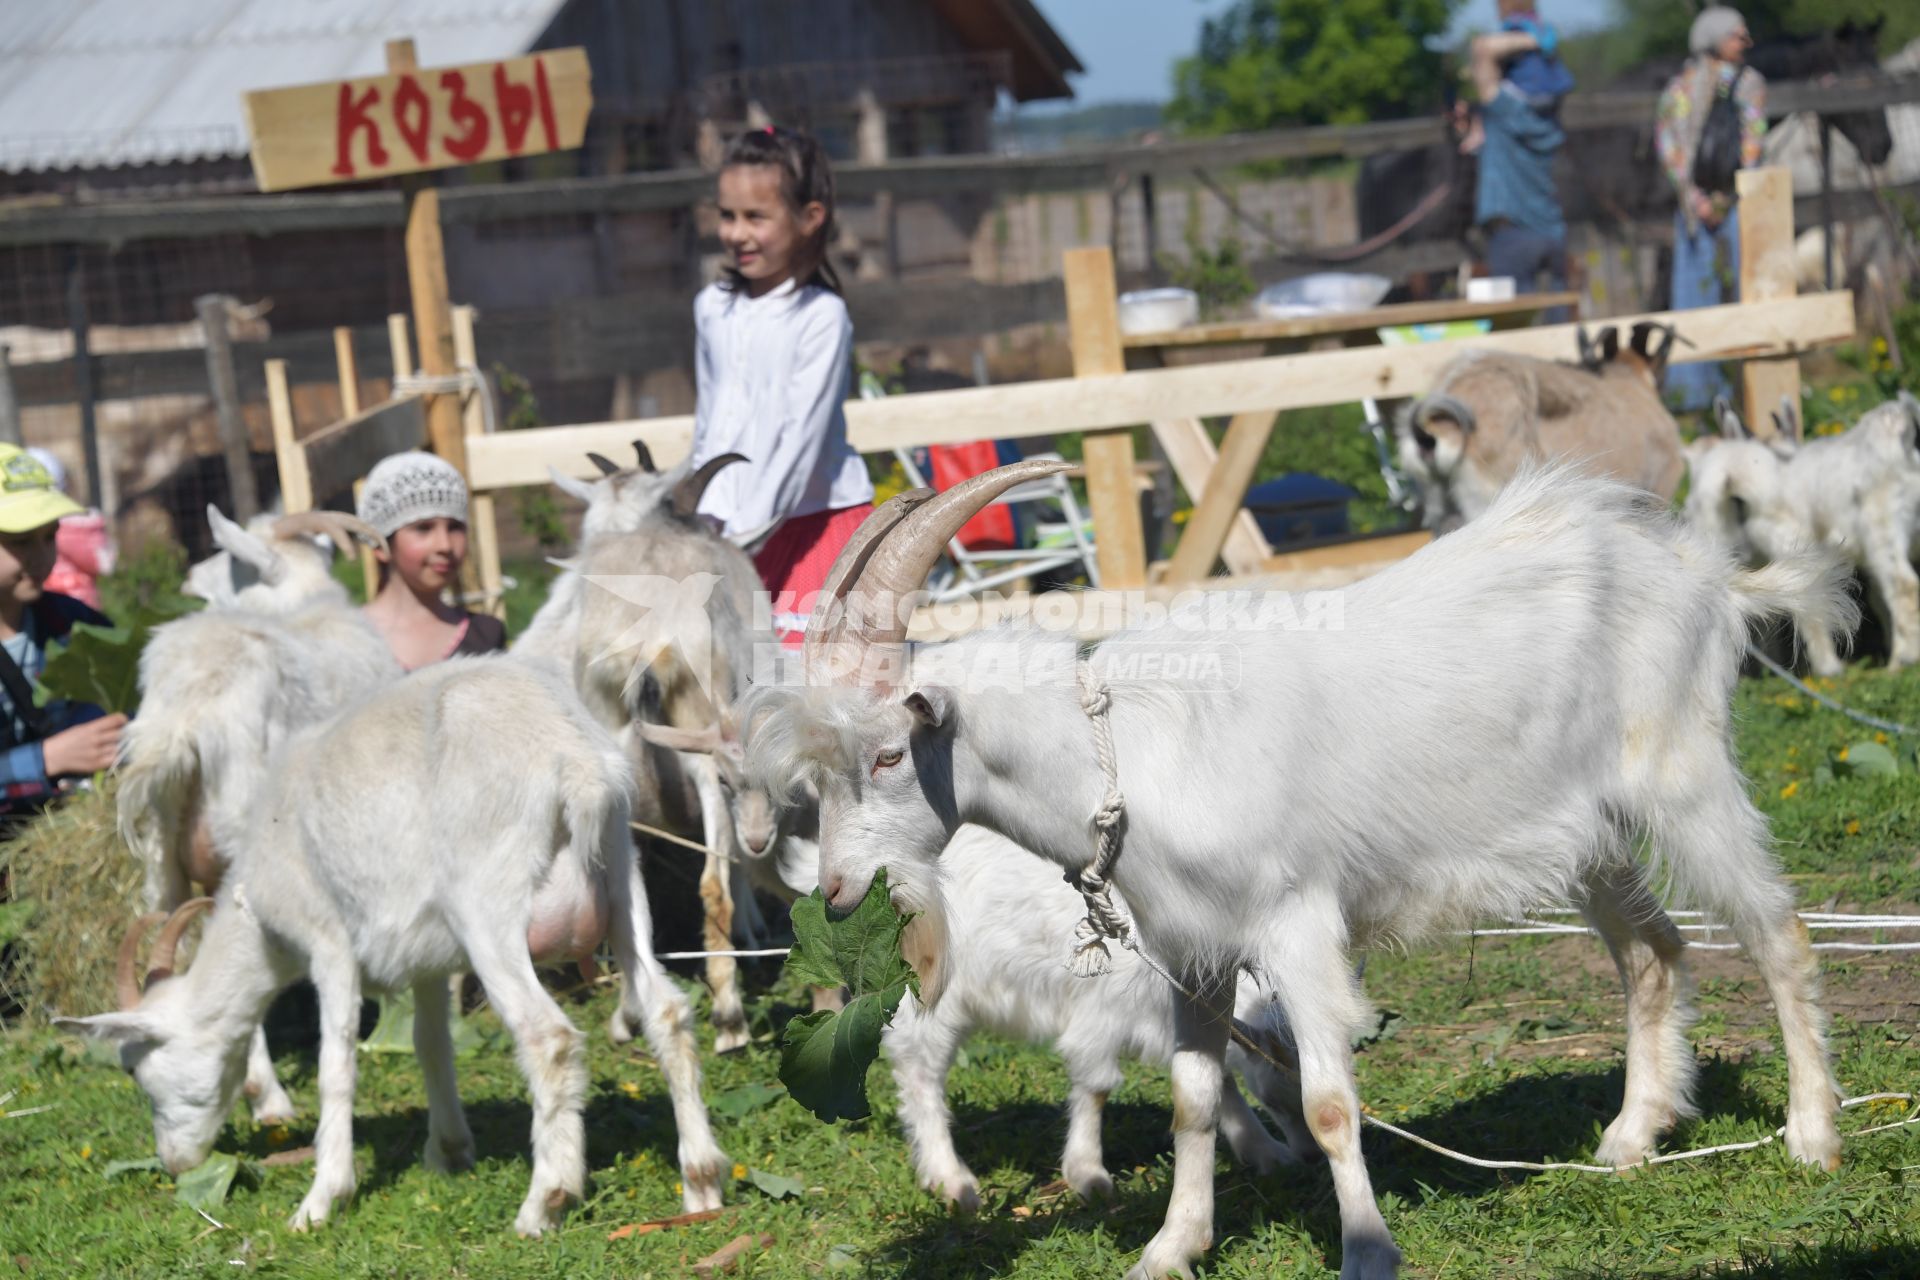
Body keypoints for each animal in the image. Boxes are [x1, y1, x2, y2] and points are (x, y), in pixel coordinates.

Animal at [67, 656, 721, 1235]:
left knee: (549, 1039)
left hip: (489, 902)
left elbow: (336, 1064)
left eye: (136, 1070)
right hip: (622, 877)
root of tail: (577, 765)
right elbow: (432, 1044)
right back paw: (701, 1183)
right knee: (665, 1011)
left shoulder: (328, 942)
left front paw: (322, 1200)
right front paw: (449, 1150)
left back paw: (545, 1204)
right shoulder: (429, 959)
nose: (176, 1163)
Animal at [119, 506, 401, 1120]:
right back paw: (266, 1094)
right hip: (238, 828)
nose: (189, 576)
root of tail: (187, 710)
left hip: (162, 855)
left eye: (229, 560)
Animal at [748, 460, 1858, 1280]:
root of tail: (1703, 575)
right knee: (1654, 952)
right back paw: (1633, 1135)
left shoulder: (1295, 924)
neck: (1122, 758)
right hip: (1587, 833)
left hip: (1683, 773)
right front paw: (1171, 1245)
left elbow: (1326, 1100)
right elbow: (1195, 1097)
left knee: (1777, 932)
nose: (836, 892)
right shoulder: (1192, 948)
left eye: (888, 755)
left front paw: (1367, 1249)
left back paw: (1811, 1133)